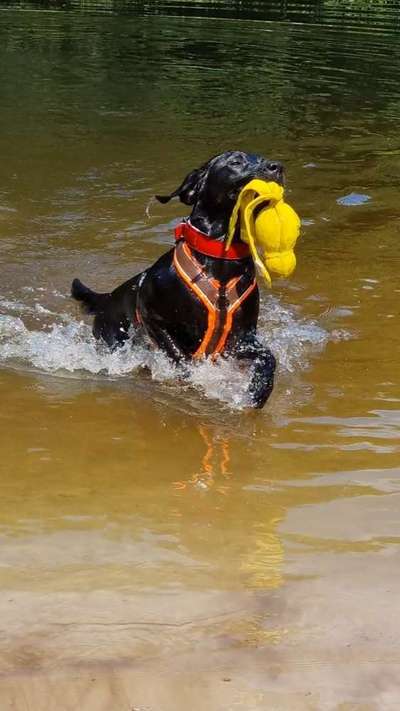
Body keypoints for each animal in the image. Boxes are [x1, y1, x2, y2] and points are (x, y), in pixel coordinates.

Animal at [72, 150, 284, 406]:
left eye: (261, 157)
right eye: (235, 161)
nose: (277, 167)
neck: (221, 261)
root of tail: (107, 298)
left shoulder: (240, 339)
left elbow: (268, 357)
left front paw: (259, 389)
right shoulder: (152, 317)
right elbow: (178, 356)